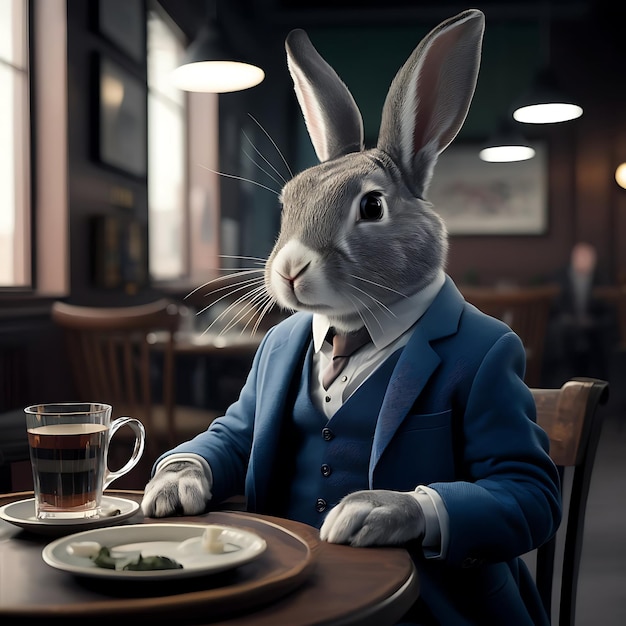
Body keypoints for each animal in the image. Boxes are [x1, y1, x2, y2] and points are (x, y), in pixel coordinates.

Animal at [144, 8, 560, 620]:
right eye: (287, 202)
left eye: (372, 205)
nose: (290, 268)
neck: (350, 329)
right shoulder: (244, 413)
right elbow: (226, 434)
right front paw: (173, 487)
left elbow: (524, 483)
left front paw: (374, 510)